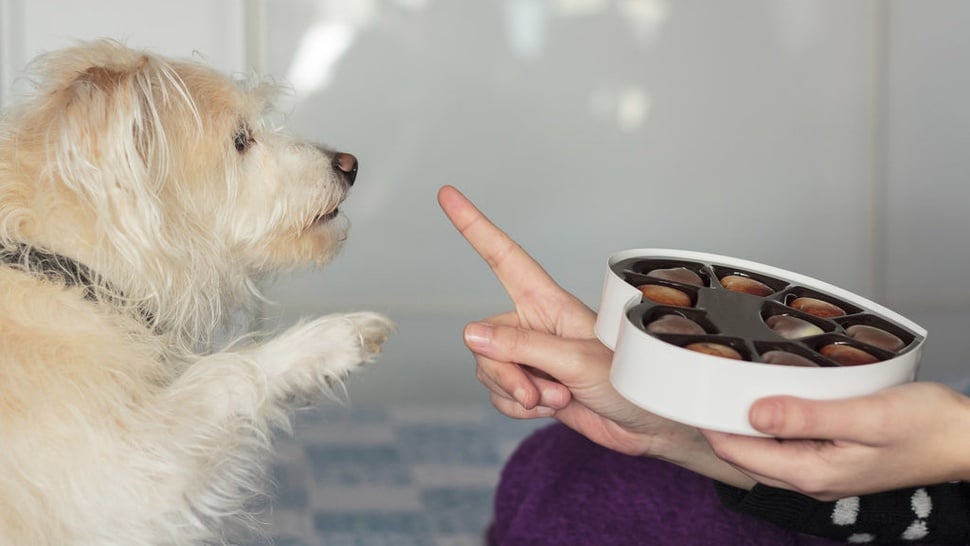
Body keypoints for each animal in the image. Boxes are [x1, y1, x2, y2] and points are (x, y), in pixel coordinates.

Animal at [0, 40, 394, 540]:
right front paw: (329, 341)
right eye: (241, 140)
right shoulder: (129, 478)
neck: (65, 265)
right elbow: (226, 372)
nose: (350, 164)